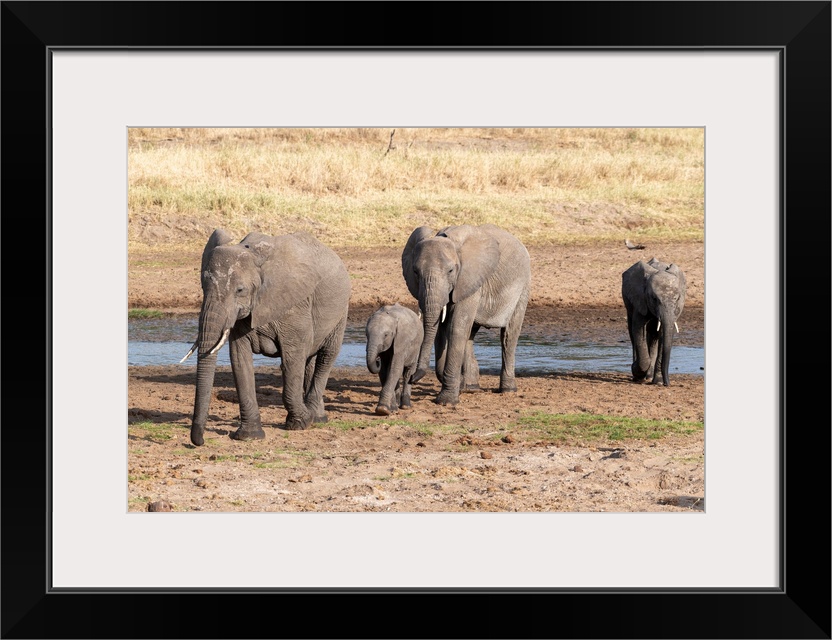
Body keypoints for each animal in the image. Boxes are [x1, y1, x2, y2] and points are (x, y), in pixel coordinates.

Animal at [180, 229, 350, 444]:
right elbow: (240, 362)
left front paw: (300, 424)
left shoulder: (294, 306)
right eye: (203, 287)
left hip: (342, 310)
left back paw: (314, 417)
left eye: (240, 290)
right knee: (310, 361)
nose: (200, 441)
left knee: (326, 356)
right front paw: (249, 436)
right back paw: (317, 417)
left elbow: (292, 360)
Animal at [400, 224, 528, 404]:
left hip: (523, 287)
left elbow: (456, 329)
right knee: (470, 334)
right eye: (415, 272)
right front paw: (456, 387)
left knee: (509, 335)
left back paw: (507, 390)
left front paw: (446, 401)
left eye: (451, 271)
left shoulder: (468, 279)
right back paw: (470, 387)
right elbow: (441, 331)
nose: (411, 378)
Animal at [620, 258, 684, 388]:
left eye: (678, 298)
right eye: (654, 298)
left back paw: (649, 376)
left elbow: (663, 334)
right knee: (633, 333)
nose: (667, 384)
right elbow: (638, 330)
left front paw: (658, 382)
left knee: (653, 333)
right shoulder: (640, 299)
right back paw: (640, 375)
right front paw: (637, 373)